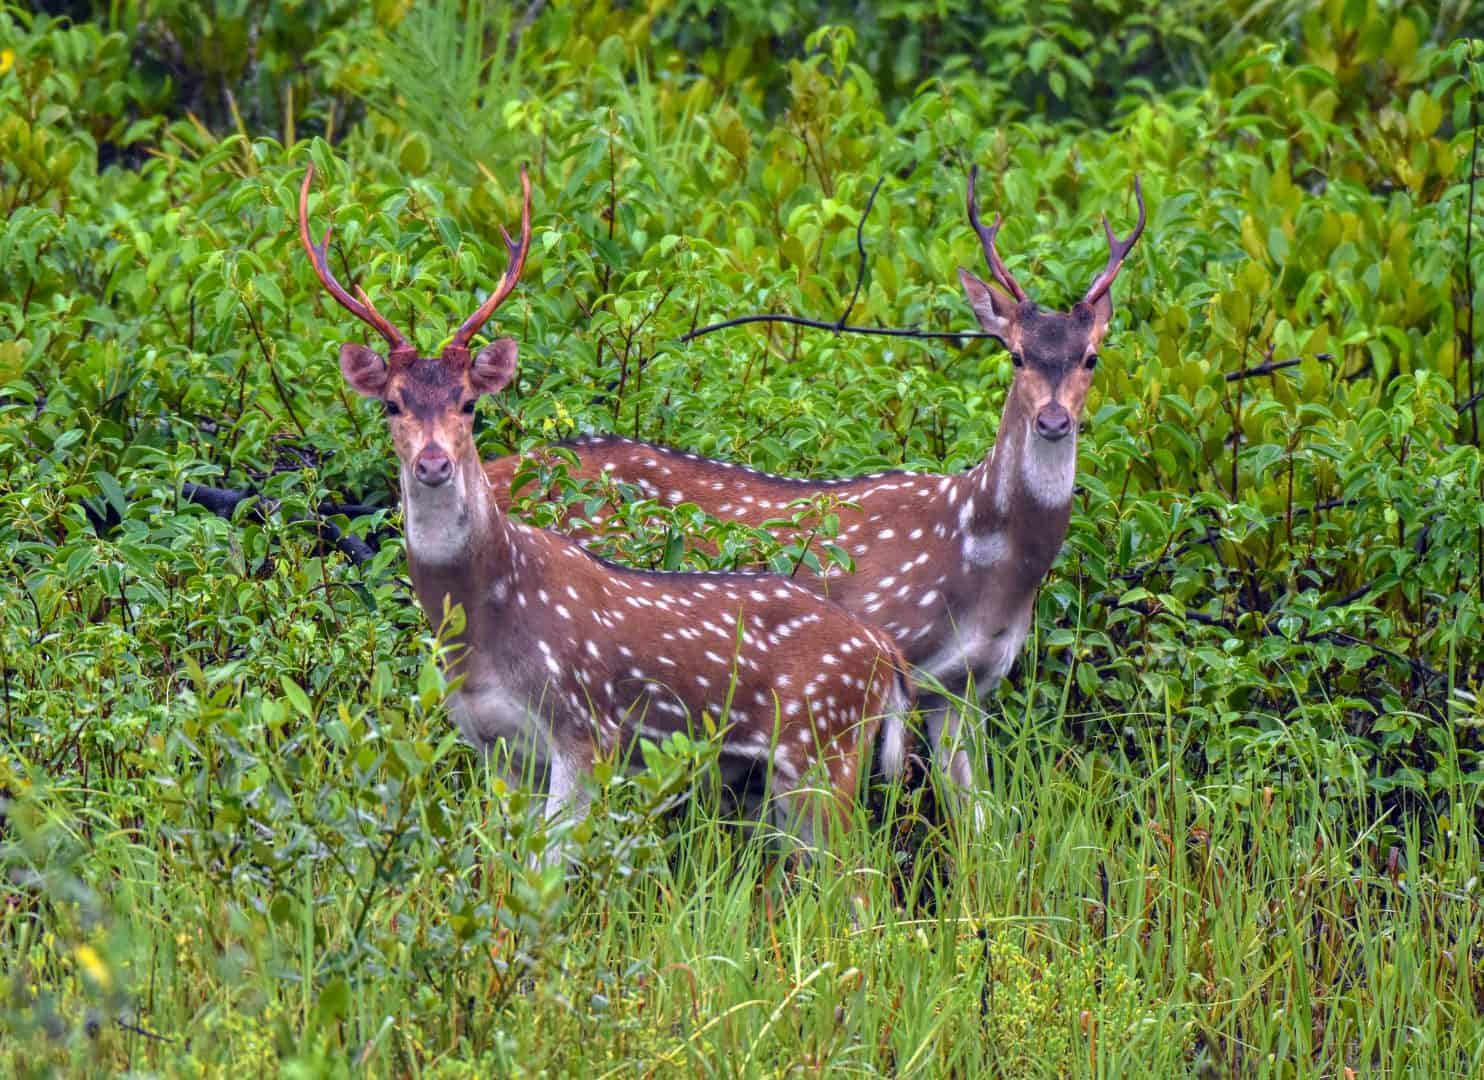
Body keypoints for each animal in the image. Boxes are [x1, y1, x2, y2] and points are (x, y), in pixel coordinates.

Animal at [296, 164, 908, 848]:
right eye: (392, 404)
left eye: (469, 403)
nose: (433, 464)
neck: (480, 629)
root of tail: (889, 656)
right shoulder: (493, 742)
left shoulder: (587, 728)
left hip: (825, 745)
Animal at [486, 170, 1145, 795]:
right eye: (1014, 354)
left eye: (1091, 357)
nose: (1053, 421)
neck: (981, 554)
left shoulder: (966, 686)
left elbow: (979, 823)